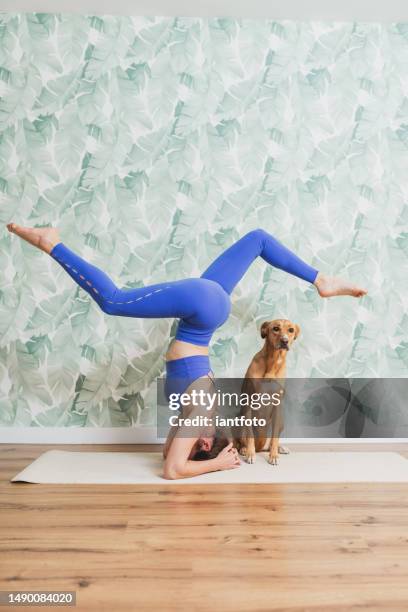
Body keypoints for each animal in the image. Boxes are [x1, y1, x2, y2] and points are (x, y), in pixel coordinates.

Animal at [236, 320, 300, 464]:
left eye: (291, 330)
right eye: (275, 328)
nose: (285, 341)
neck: (273, 363)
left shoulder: (277, 406)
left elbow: (275, 438)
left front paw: (274, 455)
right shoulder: (248, 403)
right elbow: (249, 435)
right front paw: (250, 453)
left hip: (281, 420)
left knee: (271, 442)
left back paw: (278, 448)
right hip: (239, 418)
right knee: (242, 440)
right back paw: (244, 449)